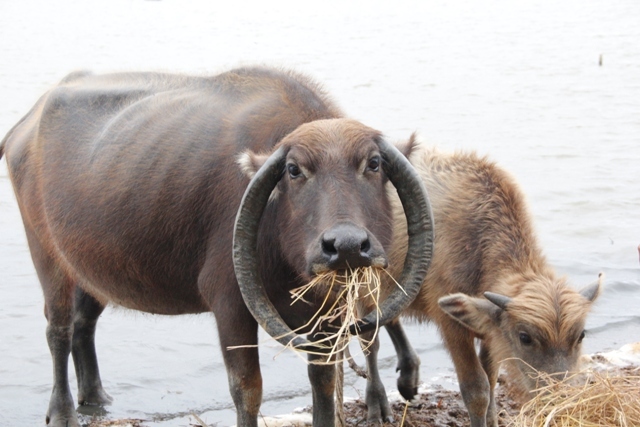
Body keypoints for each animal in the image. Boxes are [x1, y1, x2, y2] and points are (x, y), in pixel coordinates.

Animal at [1, 67, 436, 427]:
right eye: (293, 170)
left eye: (374, 163)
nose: (345, 245)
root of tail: (24, 126)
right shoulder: (229, 302)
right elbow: (246, 389)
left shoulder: (327, 314)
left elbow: (324, 380)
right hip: (46, 254)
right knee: (58, 329)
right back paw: (63, 412)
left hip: (90, 267)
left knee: (83, 324)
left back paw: (96, 398)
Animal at [362, 143, 604, 427]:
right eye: (525, 337)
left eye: (581, 335)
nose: (561, 397)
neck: (476, 242)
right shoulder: (452, 327)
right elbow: (477, 390)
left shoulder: (491, 332)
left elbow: (491, 382)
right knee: (370, 342)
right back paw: (377, 403)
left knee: (390, 316)